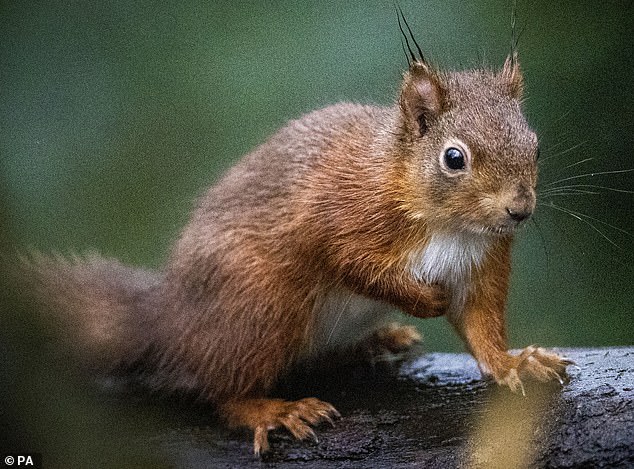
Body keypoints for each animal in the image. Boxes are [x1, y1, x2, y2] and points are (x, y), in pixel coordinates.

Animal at [23, 14, 568, 454]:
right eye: (454, 158)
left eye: (536, 146)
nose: (519, 210)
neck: (450, 225)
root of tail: (169, 320)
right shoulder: (333, 216)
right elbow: (351, 264)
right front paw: (422, 300)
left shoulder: (483, 262)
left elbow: (480, 324)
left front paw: (512, 362)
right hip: (261, 303)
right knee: (220, 389)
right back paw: (272, 410)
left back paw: (374, 342)